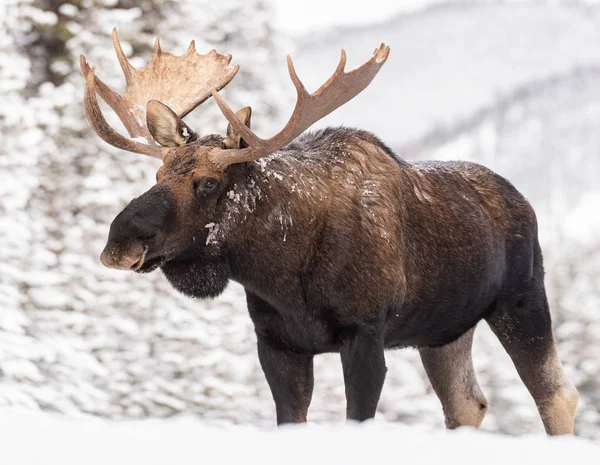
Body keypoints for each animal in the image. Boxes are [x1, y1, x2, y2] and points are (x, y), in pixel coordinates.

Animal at [82, 29, 580, 436]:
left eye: (207, 182)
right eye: (160, 172)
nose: (118, 242)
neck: (282, 272)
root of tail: (524, 200)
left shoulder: (364, 335)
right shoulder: (277, 343)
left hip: (521, 300)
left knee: (557, 394)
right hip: (444, 331)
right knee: (467, 404)